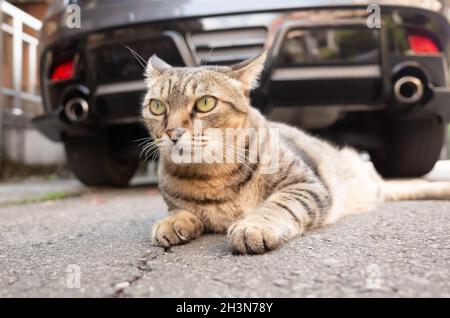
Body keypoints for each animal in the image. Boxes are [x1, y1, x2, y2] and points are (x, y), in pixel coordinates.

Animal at [142, 52, 450, 256]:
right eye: (157, 107)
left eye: (205, 103)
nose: (171, 132)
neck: (212, 177)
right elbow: (179, 209)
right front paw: (172, 221)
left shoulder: (305, 184)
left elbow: (278, 205)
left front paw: (253, 225)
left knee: (414, 185)